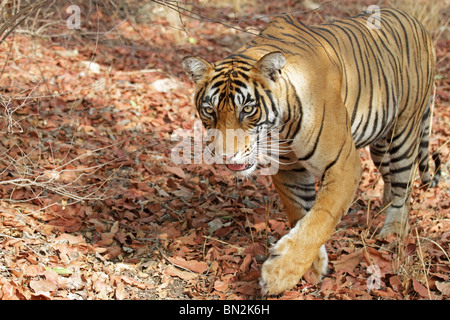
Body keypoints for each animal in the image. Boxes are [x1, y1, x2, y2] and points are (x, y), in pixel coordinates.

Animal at [181, 7, 438, 296]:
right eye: (209, 110)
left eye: (247, 109)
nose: (225, 155)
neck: (281, 126)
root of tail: (417, 22)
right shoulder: (289, 170)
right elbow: (301, 213)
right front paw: (312, 266)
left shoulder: (343, 165)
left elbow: (319, 220)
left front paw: (279, 274)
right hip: (381, 146)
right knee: (390, 179)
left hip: (403, 133)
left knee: (404, 185)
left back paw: (392, 233)